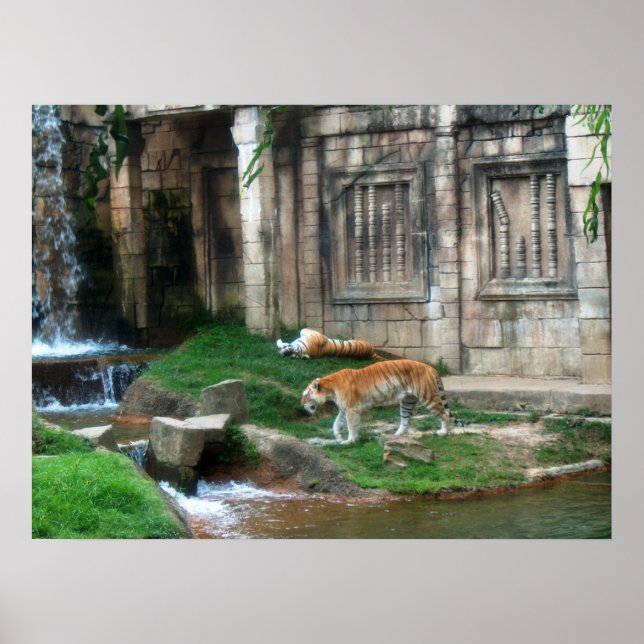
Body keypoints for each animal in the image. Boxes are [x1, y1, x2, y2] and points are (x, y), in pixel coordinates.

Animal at [300, 359, 451, 444]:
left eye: (306, 395)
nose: (301, 405)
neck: (330, 390)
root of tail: (430, 367)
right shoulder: (344, 409)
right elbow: (336, 423)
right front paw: (338, 437)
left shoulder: (351, 409)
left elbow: (351, 426)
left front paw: (350, 441)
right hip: (408, 401)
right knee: (405, 421)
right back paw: (395, 436)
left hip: (428, 397)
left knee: (444, 414)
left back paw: (443, 432)